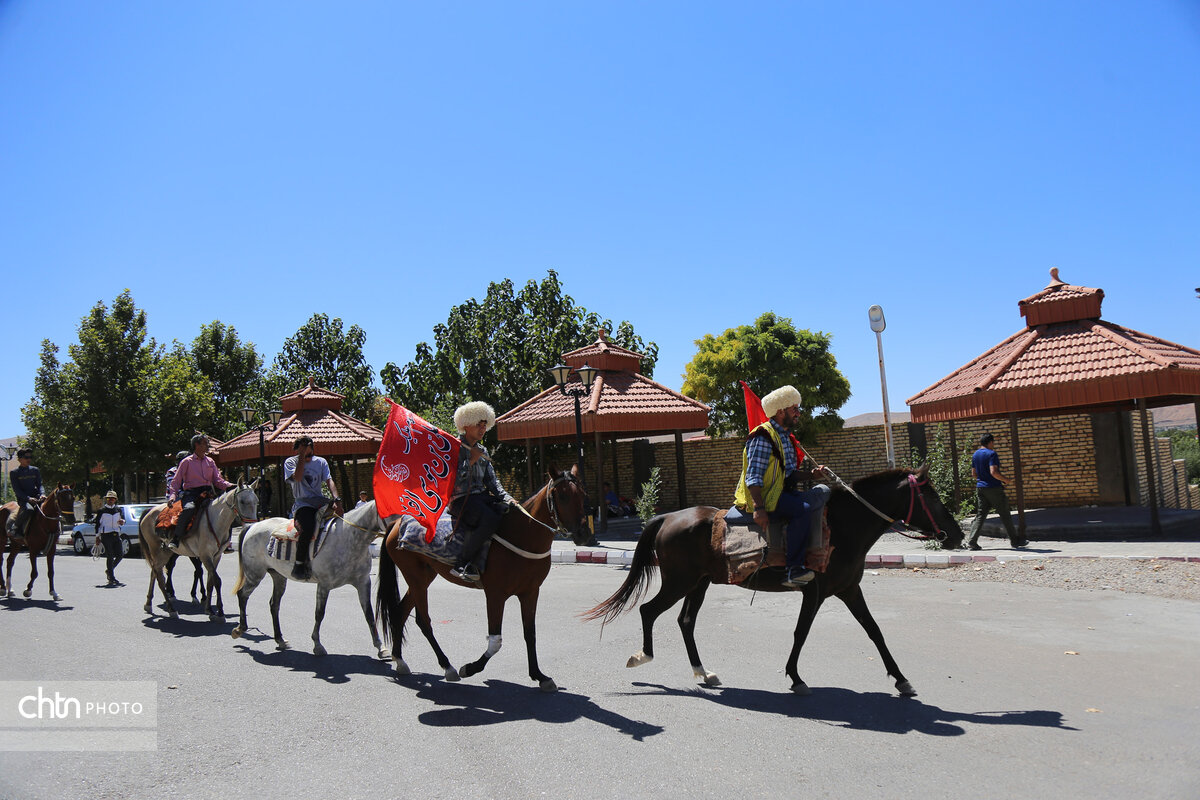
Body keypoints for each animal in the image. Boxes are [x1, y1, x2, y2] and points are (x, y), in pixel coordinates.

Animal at [139, 479, 259, 623]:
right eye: (242, 501)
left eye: (257, 501)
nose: (251, 526)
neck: (216, 520)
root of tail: (150, 510)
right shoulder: (204, 555)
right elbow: (216, 580)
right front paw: (220, 612)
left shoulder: (216, 556)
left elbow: (210, 581)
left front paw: (209, 609)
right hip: (156, 549)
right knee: (160, 577)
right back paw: (171, 609)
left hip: (165, 552)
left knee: (155, 572)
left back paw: (148, 603)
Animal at [231, 496, 386, 662]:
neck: (348, 537)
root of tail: (253, 526)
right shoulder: (324, 585)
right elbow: (319, 613)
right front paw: (317, 646)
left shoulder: (363, 582)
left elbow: (369, 614)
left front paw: (381, 648)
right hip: (255, 574)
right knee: (242, 595)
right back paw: (240, 629)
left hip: (278, 576)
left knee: (274, 605)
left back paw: (280, 639)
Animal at [379, 465, 590, 690]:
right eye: (563, 496)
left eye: (582, 494)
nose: (584, 534)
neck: (522, 535)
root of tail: (397, 522)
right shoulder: (495, 594)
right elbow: (495, 641)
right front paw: (470, 668)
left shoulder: (530, 592)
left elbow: (530, 633)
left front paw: (539, 675)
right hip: (415, 578)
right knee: (423, 621)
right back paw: (448, 666)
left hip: (423, 577)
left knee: (400, 612)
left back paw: (400, 660)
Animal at [580, 465, 964, 695]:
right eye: (932, 496)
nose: (957, 535)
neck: (842, 527)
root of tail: (667, 517)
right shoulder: (815, 592)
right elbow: (801, 633)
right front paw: (795, 677)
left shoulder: (848, 590)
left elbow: (875, 631)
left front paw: (901, 679)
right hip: (679, 582)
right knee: (649, 611)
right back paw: (643, 656)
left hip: (698, 583)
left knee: (685, 621)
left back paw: (704, 673)